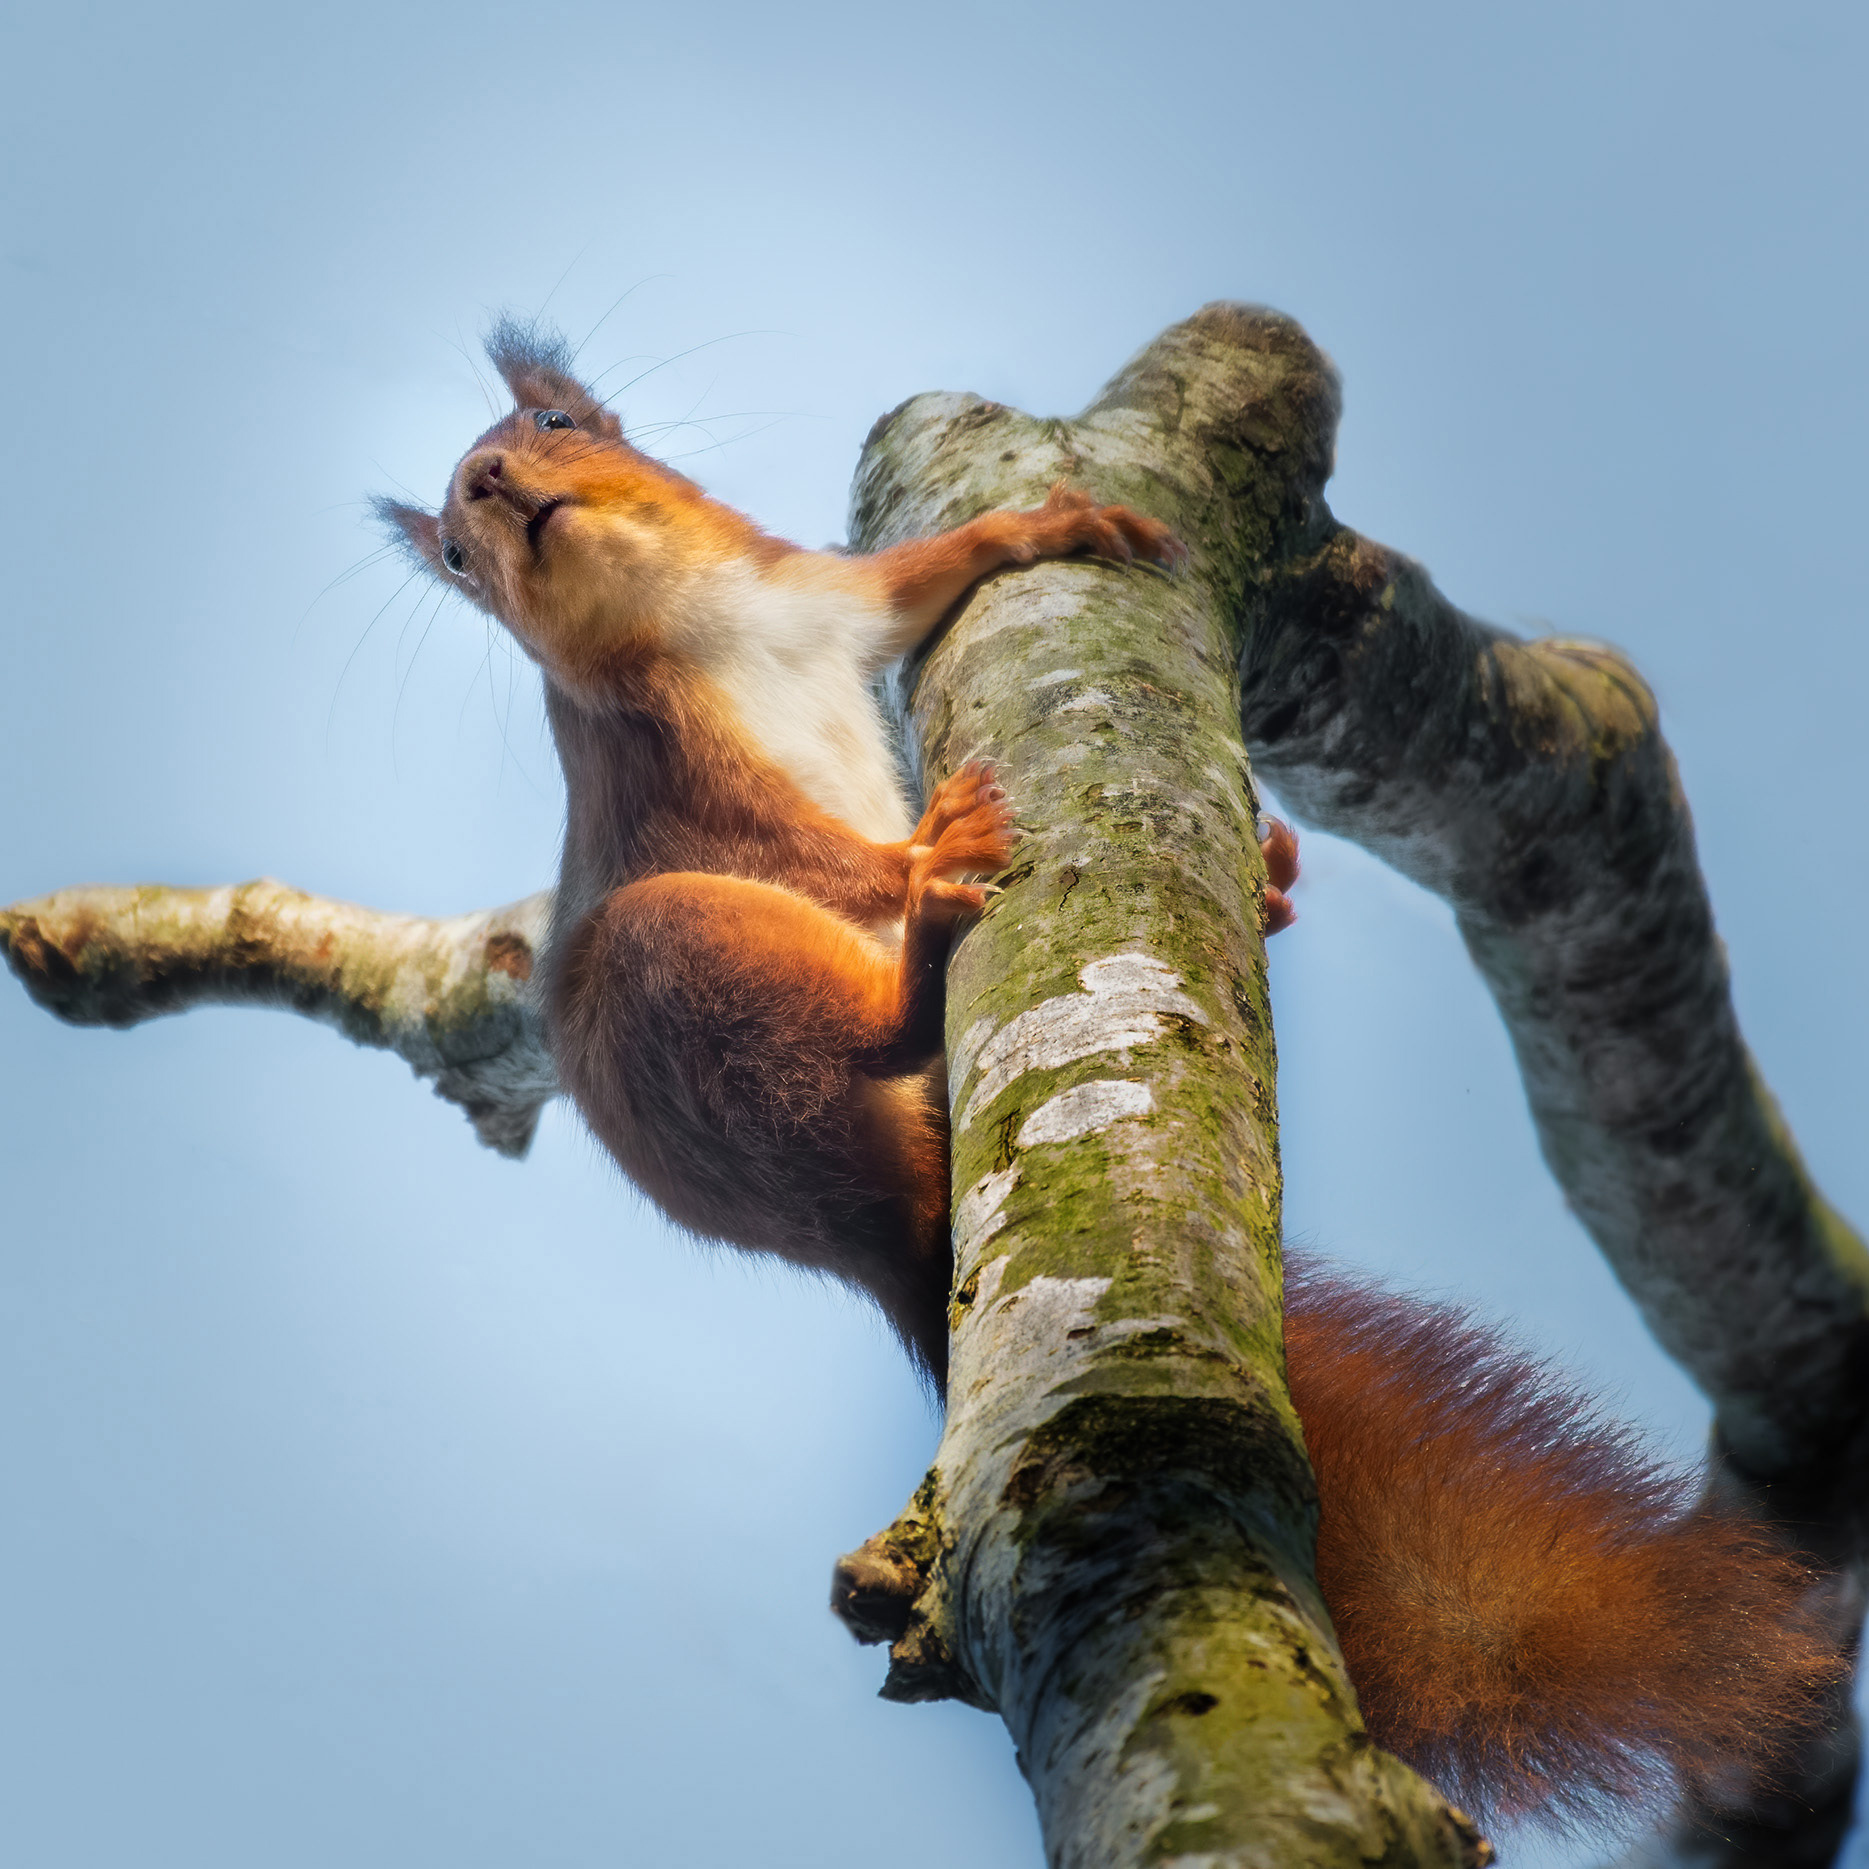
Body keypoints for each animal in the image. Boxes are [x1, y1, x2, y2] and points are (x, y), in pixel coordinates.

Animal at [379, 321, 1837, 1833]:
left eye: (552, 424)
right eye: (456, 559)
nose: (493, 491)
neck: (694, 620)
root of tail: (880, 1233)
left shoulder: (824, 599)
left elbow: (914, 586)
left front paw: (1039, 526)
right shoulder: (661, 767)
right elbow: (814, 855)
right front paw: (909, 862)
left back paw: (1261, 888)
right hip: (668, 983)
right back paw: (927, 941)